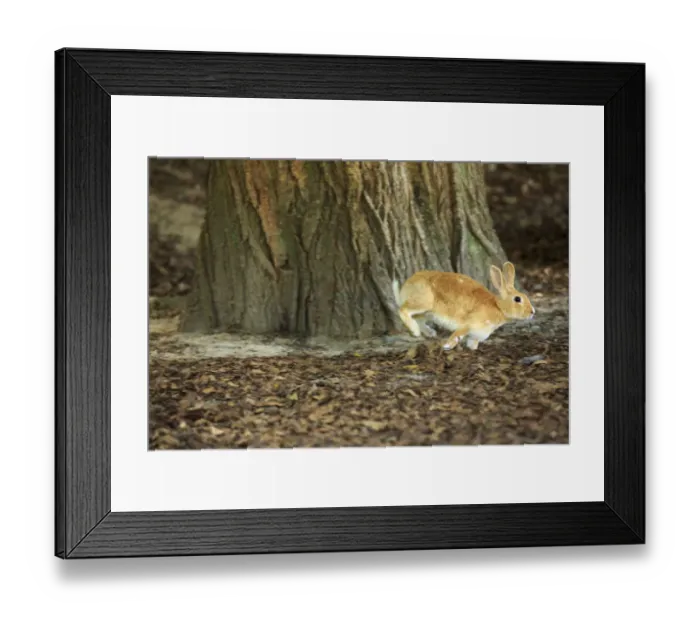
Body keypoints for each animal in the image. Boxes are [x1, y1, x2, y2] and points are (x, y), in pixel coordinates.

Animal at [392, 262, 535, 351]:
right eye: (518, 299)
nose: (532, 312)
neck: (498, 307)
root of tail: (405, 287)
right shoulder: (468, 325)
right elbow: (457, 335)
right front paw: (446, 346)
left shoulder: (475, 336)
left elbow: (472, 344)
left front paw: (472, 349)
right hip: (424, 302)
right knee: (403, 310)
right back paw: (415, 331)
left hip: (428, 312)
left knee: (418, 319)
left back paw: (430, 333)